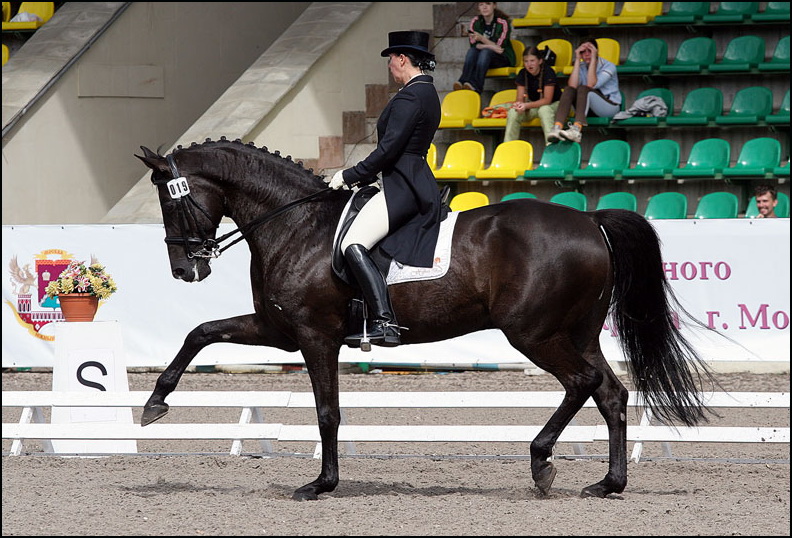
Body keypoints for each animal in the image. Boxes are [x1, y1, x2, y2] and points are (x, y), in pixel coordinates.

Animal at [135, 137, 712, 498]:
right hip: (577, 331)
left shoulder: (314, 335)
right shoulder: (279, 331)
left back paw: (541, 461)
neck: (296, 224)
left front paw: (321, 485)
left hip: (534, 333)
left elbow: (327, 413)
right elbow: (201, 332)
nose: (185, 269)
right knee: (610, 393)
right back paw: (608, 483)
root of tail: (589, 219)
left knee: (583, 382)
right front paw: (154, 404)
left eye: (171, 201)